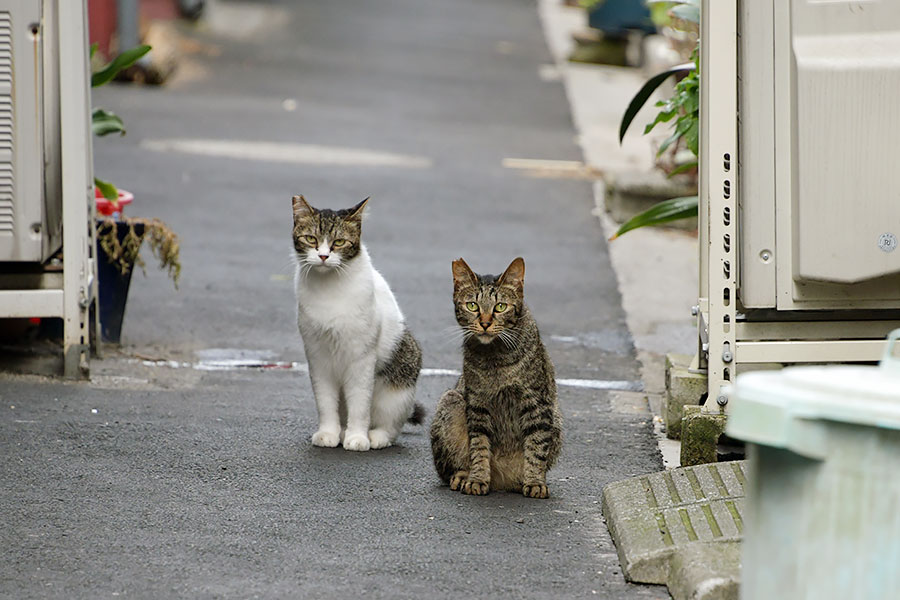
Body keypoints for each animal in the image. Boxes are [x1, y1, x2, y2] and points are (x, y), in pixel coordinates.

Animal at [292, 195, 426, 452]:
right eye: (311, 239)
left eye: (339, 242)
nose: (323, 256)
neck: (329, 289)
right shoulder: (317, 357)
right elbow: (325, 401)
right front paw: (328, 433)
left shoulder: (361, 358)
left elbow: (360, 403)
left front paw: (357, 437)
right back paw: (342, 431)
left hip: (398, 386)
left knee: (390, 426)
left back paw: (376, 436)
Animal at [430, 258, 564, 496]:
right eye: (472, 306)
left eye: (500, 306)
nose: (485, 323)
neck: (495, 358)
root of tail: (501, 482)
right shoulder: (477, 404)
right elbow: (479, 447)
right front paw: (477, 478)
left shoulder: (537, 403)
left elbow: (536, 445)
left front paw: (535, 481)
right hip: (451, 401)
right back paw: (463, 475)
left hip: (555, 419)